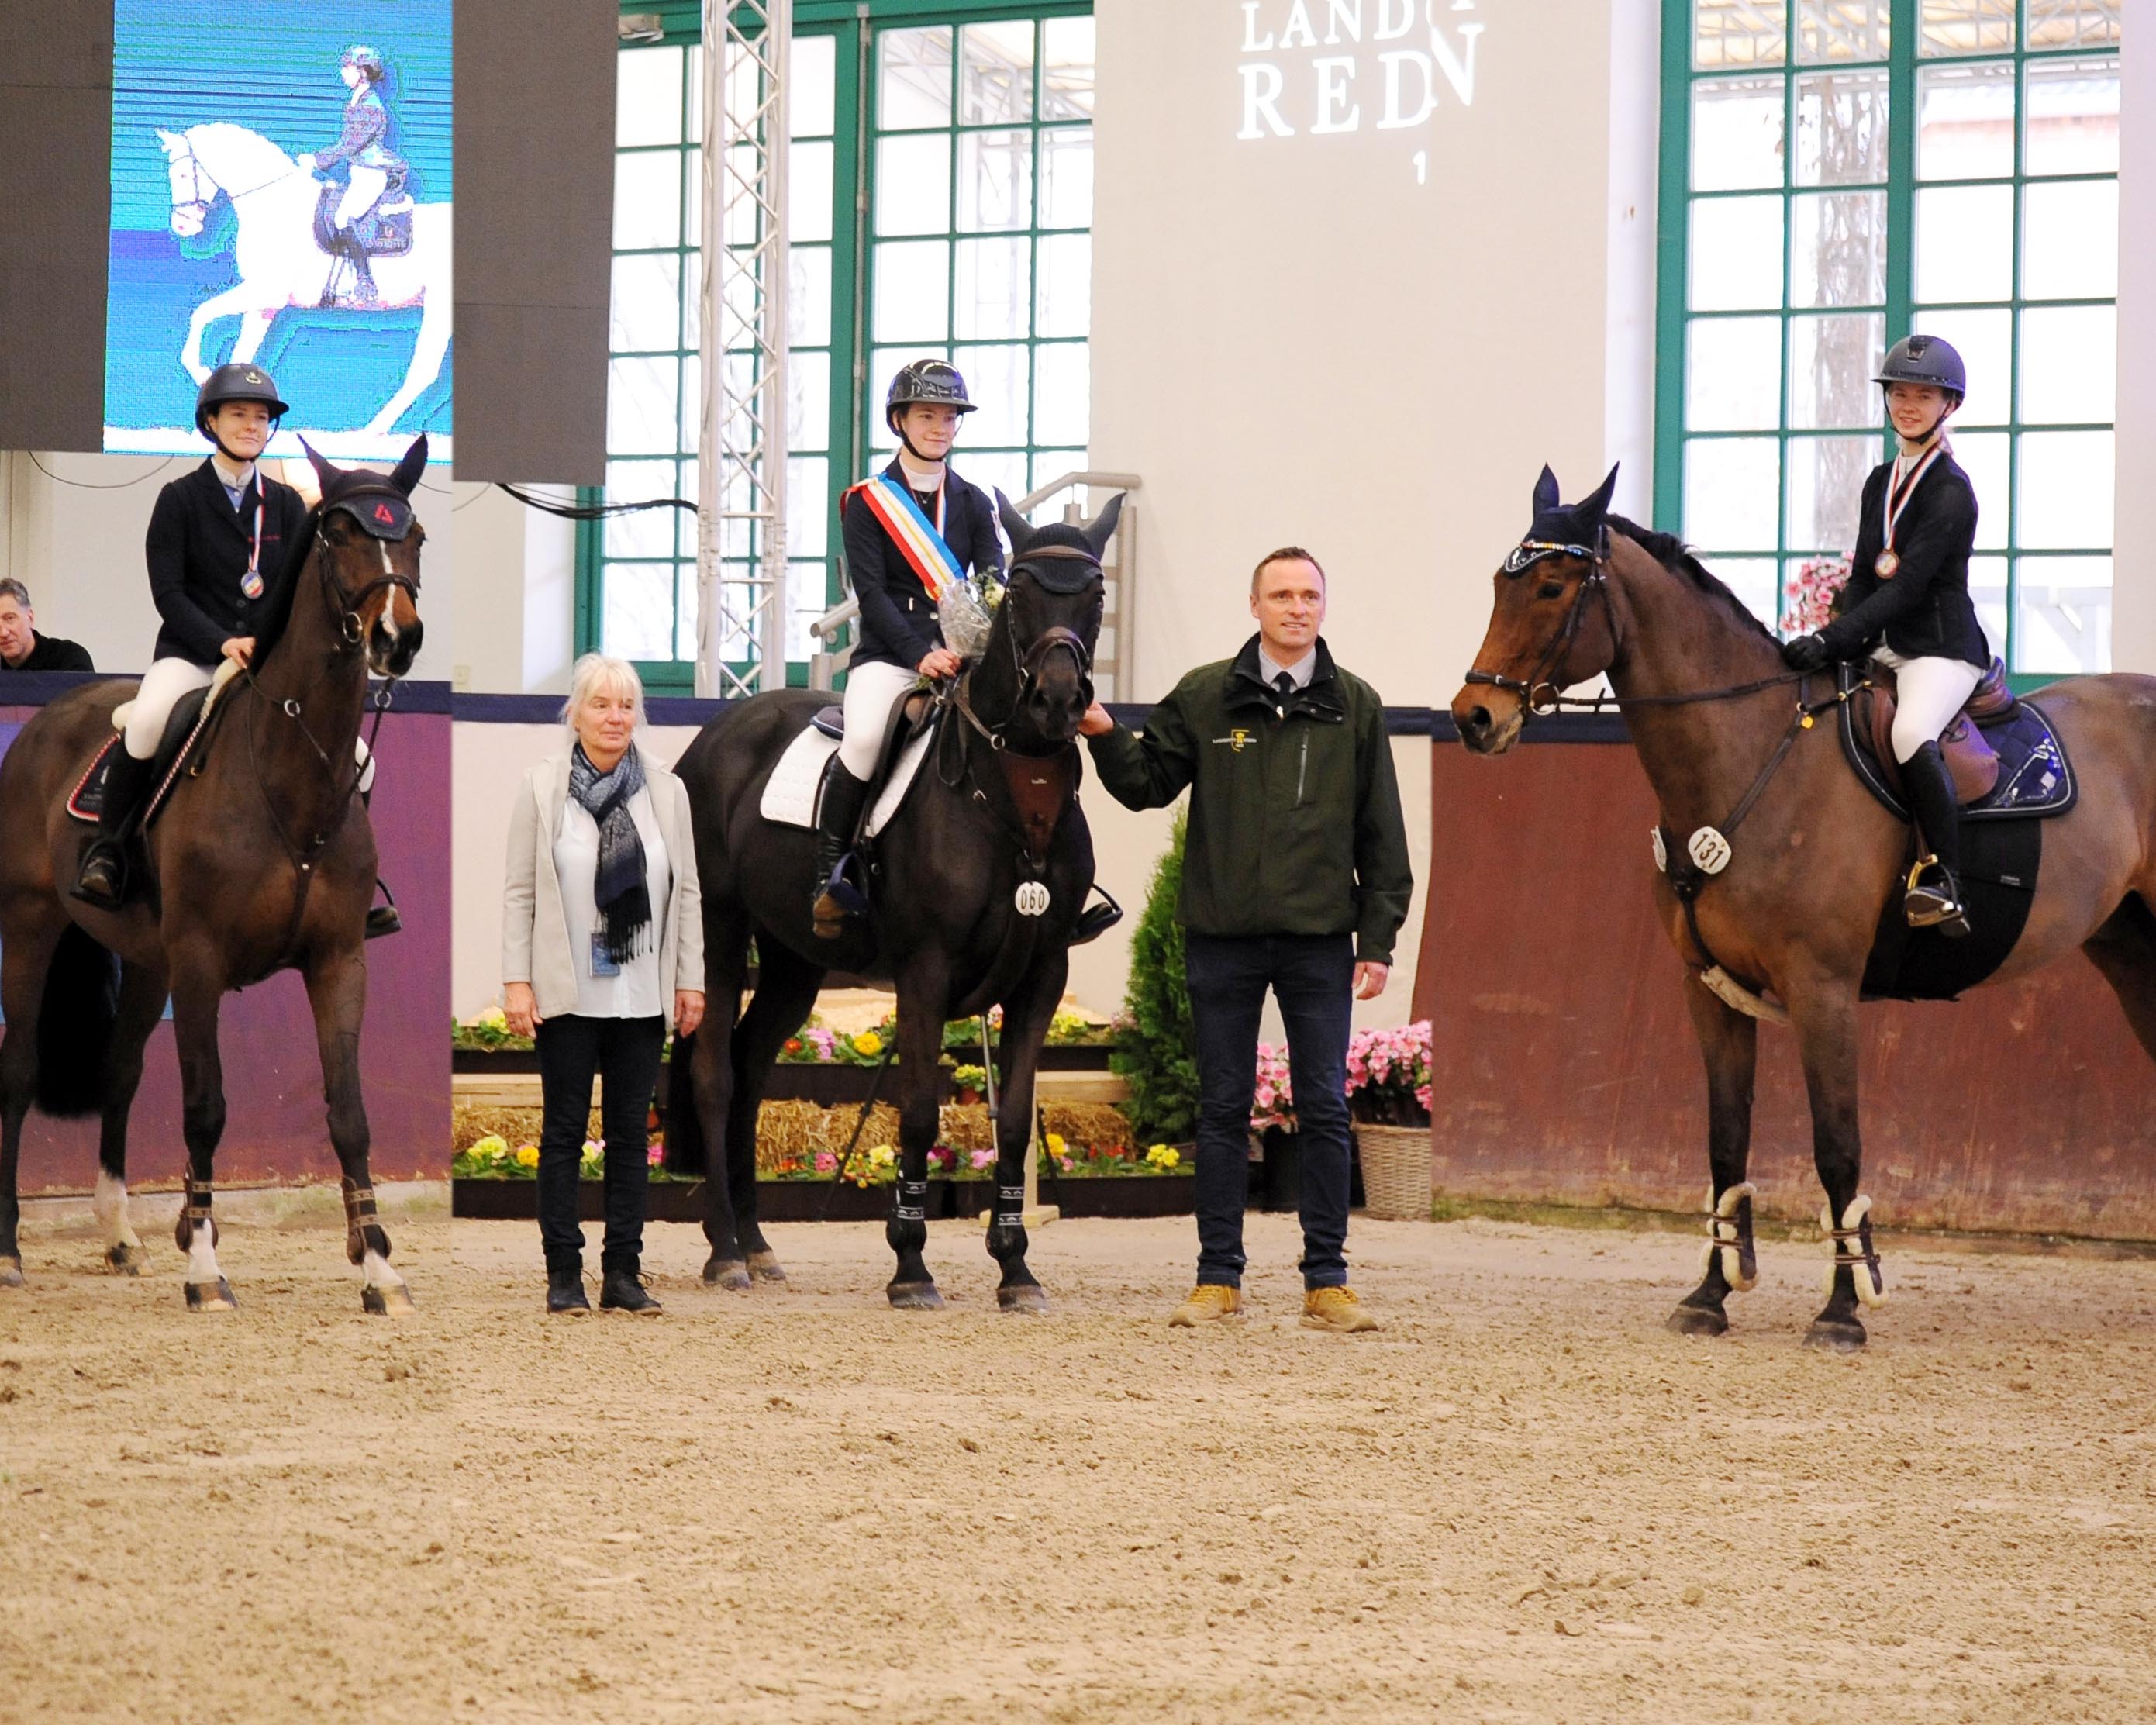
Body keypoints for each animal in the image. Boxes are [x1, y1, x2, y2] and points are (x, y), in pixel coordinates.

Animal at [0, 437, 424, 1311]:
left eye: (417, 536)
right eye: (339, 532)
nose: (397, 639)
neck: (291, 775)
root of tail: (49, 718)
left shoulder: (339, 960)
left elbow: (350, 1113)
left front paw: (378, 1267)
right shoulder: (200, 960)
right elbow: (205, 1109)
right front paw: (204, 1266)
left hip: (146, 959)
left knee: (120, 1072)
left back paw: (120, 1236)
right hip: (29, 923)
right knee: (18, 1069)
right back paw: (8, 1249)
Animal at [664, 485, 1121, 1311]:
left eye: (1095, 593)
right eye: (1020, 592)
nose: (1057, 702)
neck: (1014, 794)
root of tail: (718, 733)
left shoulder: (1043, 976)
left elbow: (1012, 1121)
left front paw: (1016, 1270)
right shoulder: (925, 971)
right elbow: (916, 1113)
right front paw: (910, 1265)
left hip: (794, 961)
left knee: (750, 1068)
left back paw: (757, 1242)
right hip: (717, 932)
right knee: (716, 1075)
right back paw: (725, 1252)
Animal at [1448, 467, 2156, 1345]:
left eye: (1550, 587)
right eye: (1498, 584)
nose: (1474, 718)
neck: (1751, 754)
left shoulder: (1823, 992)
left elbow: (1836, 1148)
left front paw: (1844, 1309)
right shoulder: (1708, 991)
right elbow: (1724, 1142)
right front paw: (1709, 1294)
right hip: (2131, 953)